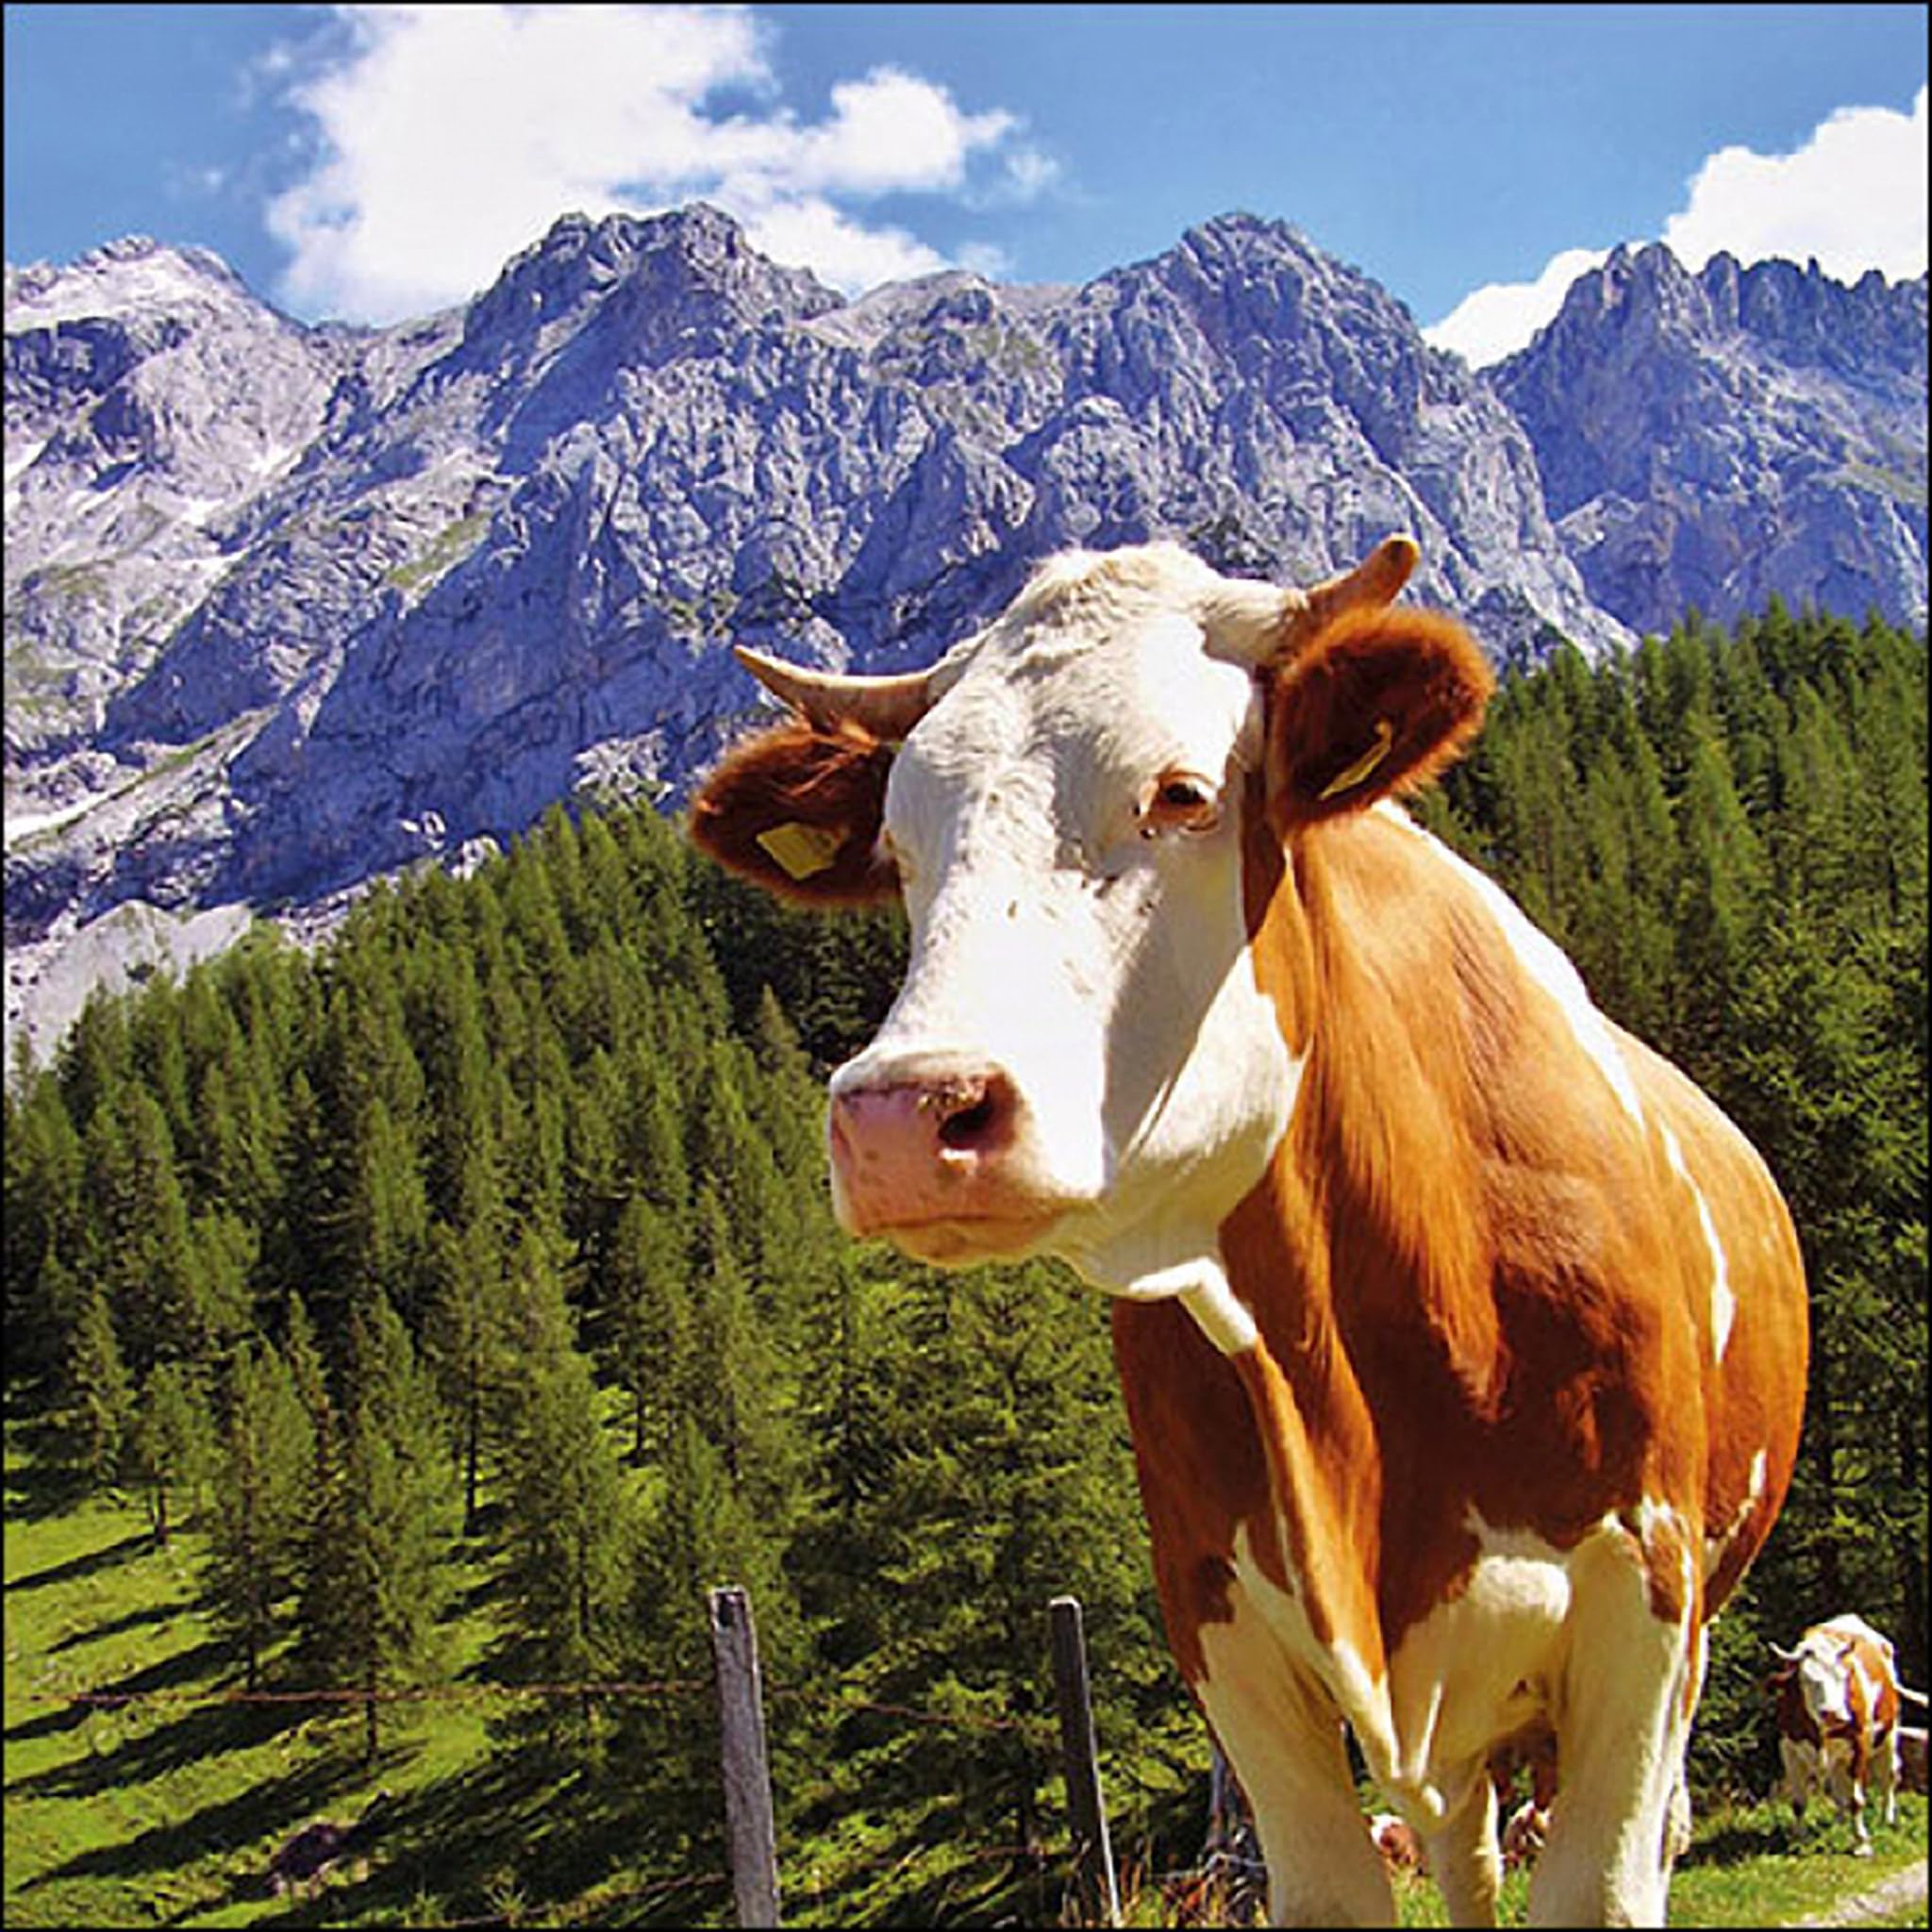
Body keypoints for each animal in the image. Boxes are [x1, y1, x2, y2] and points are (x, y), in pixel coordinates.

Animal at [689, 534, 1810, 1926]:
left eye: (1179, 793)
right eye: (898, 847)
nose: (901, 1112)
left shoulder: (1642, 1602)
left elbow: (1602, 1882)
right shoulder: (1218, 1624)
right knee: (1469, 1848)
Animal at [1771, 1613, 1928, 1854]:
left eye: (1844, 1676)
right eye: (1806, 1680)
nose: (1835, 1714)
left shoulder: (1860, 1743)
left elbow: (1857, 1799)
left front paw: (1862, 1843)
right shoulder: (1788, 1747)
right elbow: (1799, 1802)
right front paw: (1798, 1840)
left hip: (1890, 1733)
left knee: (1889, 1776)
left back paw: (1888, 1819)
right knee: (1838, 1789)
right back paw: (1839, 1822)